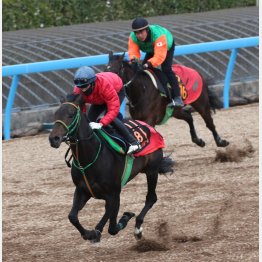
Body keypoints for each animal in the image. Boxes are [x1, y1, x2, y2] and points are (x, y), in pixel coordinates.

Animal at [48, 93, 174, 243]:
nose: (54, 138)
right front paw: (88, 233)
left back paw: (138, 228)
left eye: (71, 114)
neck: (89, 157)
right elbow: (72, 216)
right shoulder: (82, 190)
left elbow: (110, 221)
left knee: (151, 198)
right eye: (55, 114)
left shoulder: (113, 193)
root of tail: (150, 127)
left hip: (152, 170)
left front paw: (100, 230)